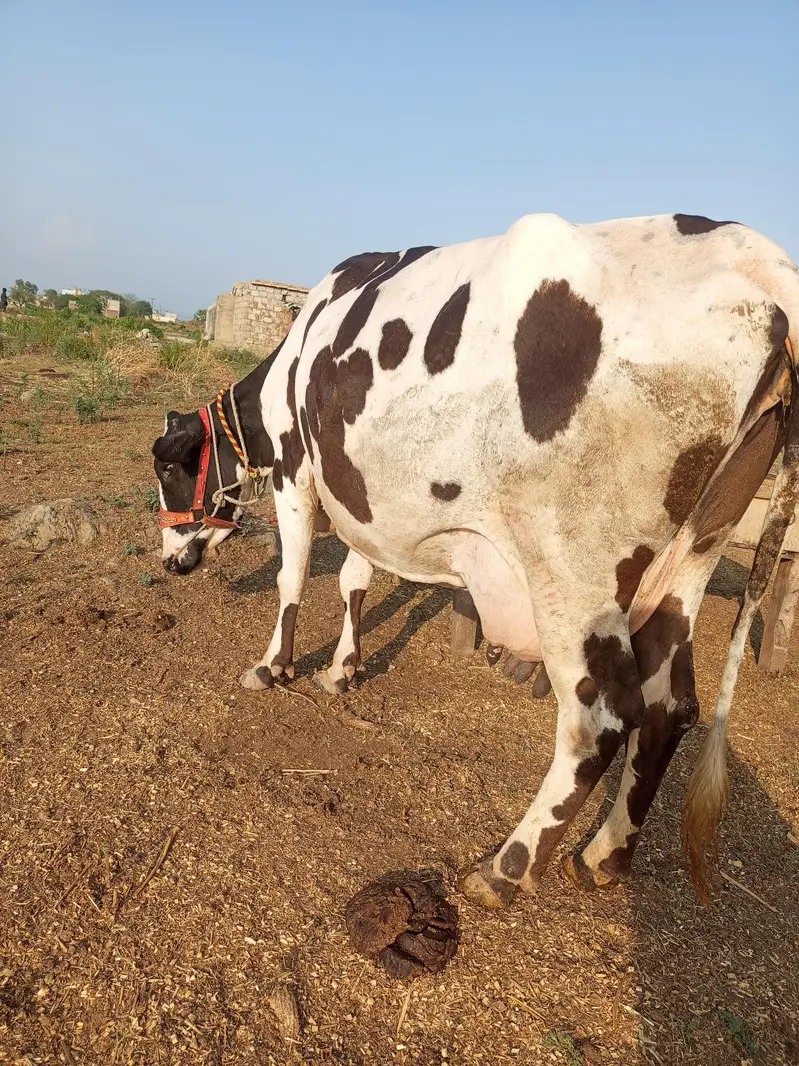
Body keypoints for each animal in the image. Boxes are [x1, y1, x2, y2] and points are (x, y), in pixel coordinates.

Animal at [153, 212, 799, 906]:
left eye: (168, 467)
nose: (169, 561)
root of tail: (761, 264)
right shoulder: (356, 495)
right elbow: (354, 577)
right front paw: (343, 668)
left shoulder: (297, 473)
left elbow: (292, 576)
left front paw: (273, 666)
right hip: (689, 560)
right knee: (668, 709)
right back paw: (602, 856)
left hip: (573, 571)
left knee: (601, 716)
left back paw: (508, 867)